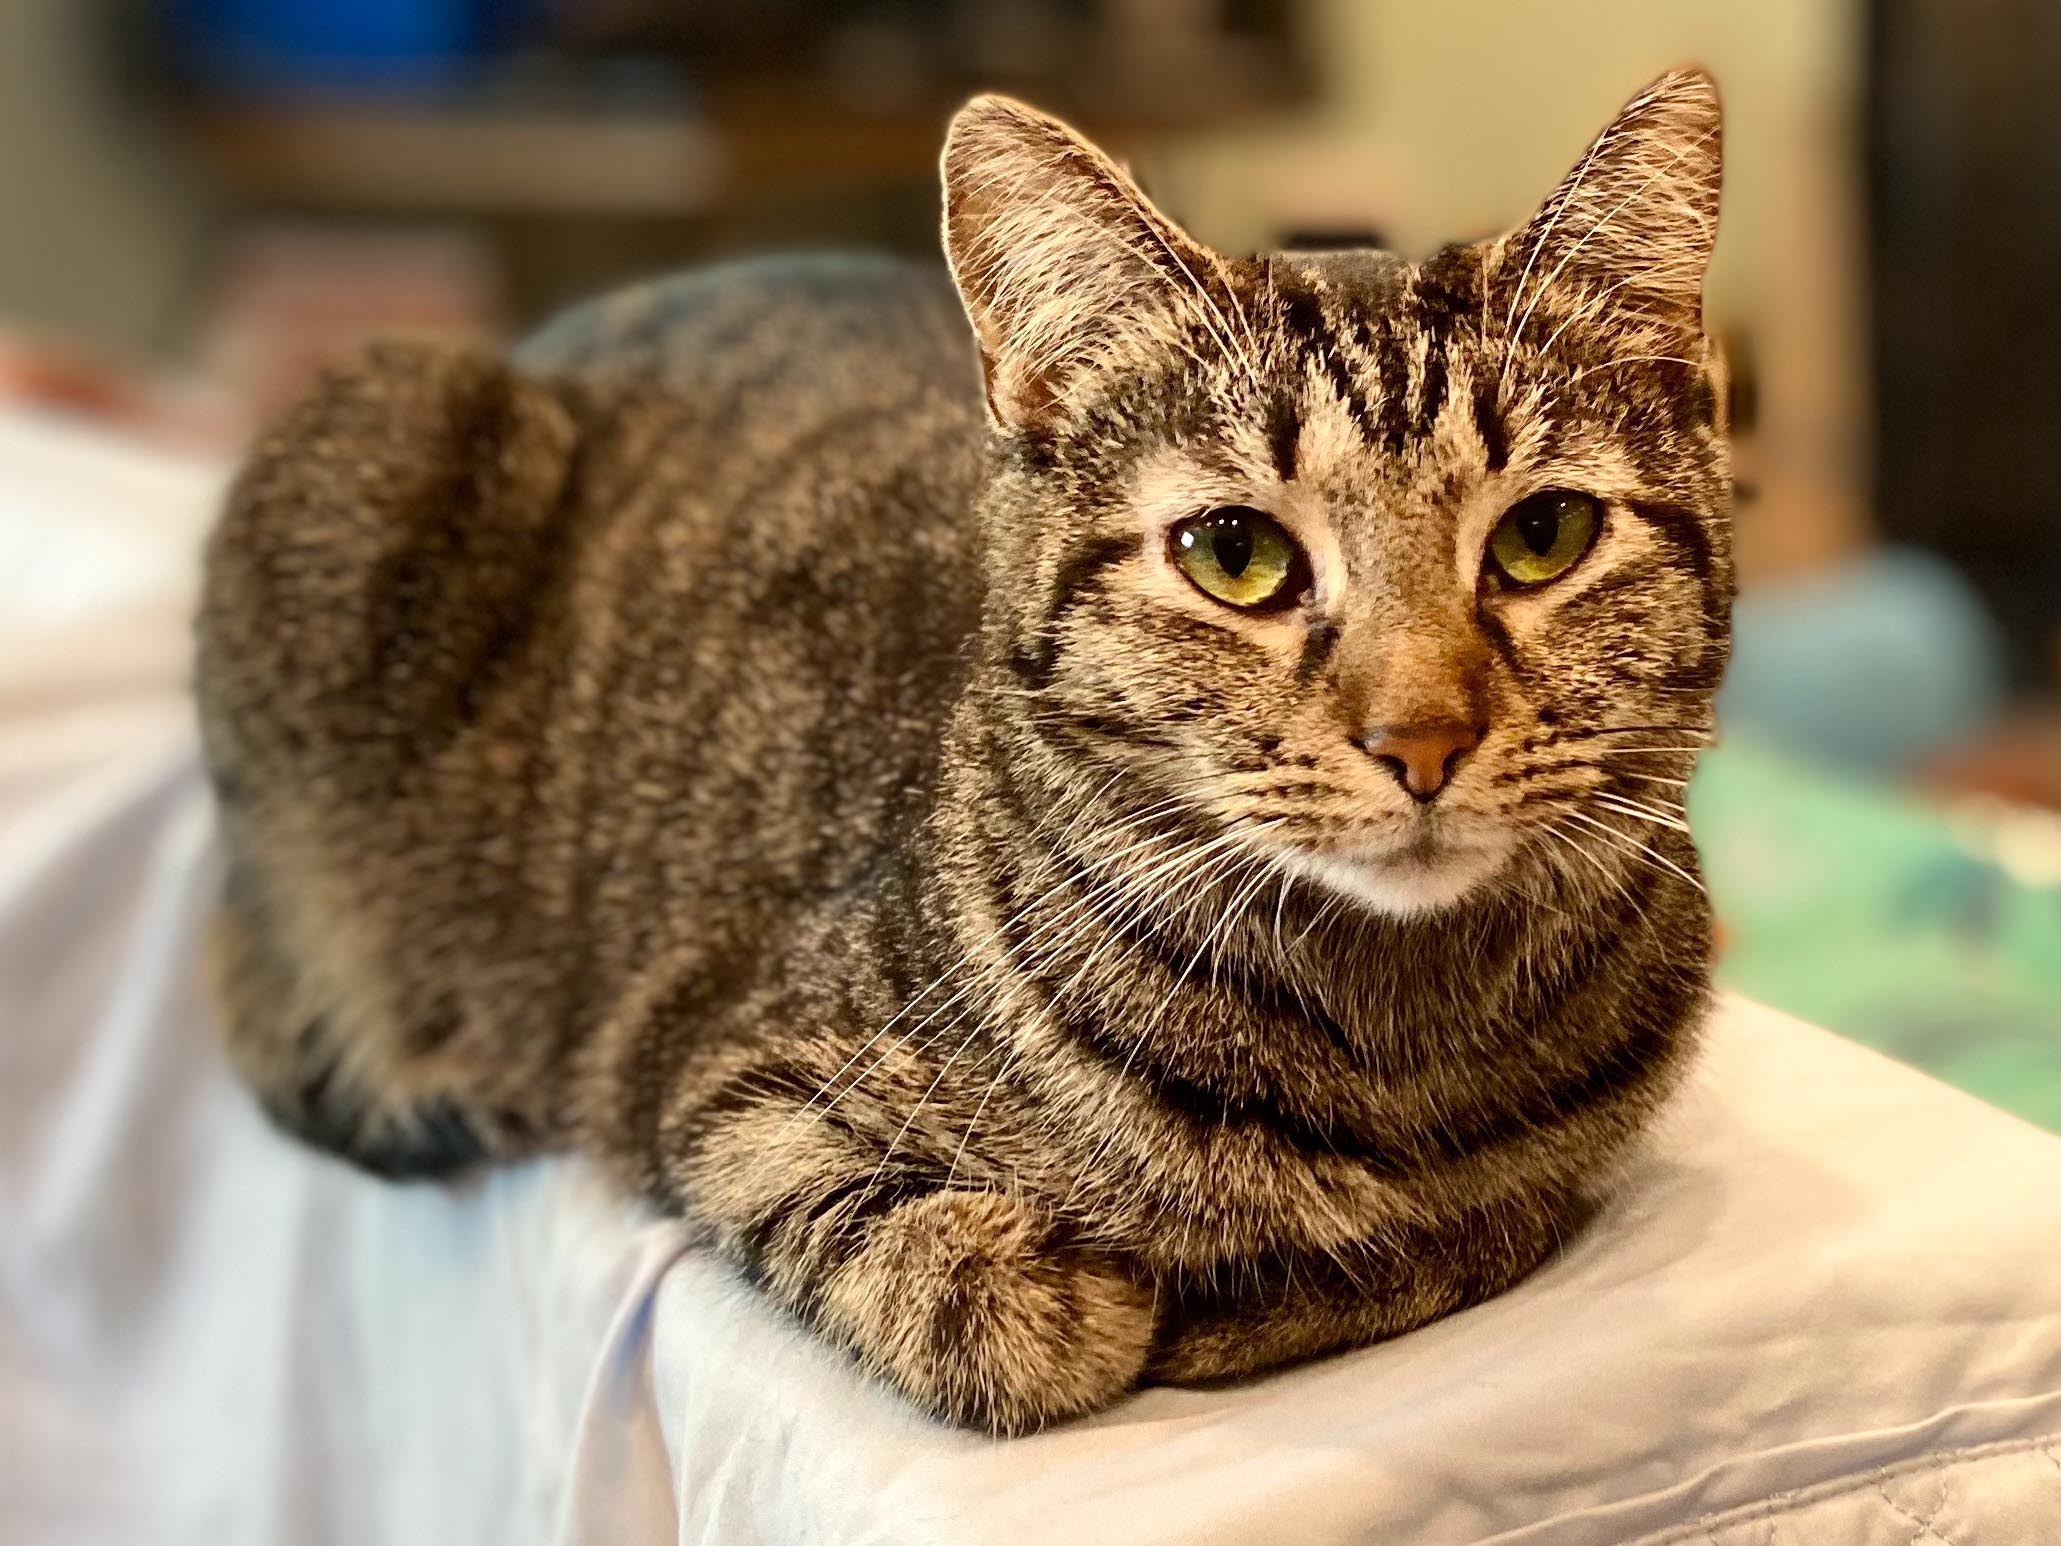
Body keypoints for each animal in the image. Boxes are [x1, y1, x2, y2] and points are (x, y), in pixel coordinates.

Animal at [200, 66, 1731, 1434]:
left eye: (1543, 536)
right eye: (1234, 554)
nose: (1420, 737)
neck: (1395, 1031)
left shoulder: (1564, 1168)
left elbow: (1488, 1223)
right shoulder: (722, 1079)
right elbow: (993, 1307)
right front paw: (1138, 1296)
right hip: (381, 452)